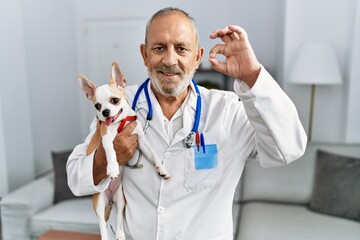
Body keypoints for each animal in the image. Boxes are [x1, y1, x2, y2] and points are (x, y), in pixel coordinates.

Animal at [78, 62, 170, 240]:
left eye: (115, 100)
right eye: (97, 106)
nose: (105, 112)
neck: (121, 122)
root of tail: (110, 198)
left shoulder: (141, 141)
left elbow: (153, 154)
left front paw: (161, 169)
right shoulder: (107, 139)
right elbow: (111, 153)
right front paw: (113, 168)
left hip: (121, 200)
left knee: (119, 217)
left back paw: (120, 234)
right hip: (99, 202)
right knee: (102, 224)